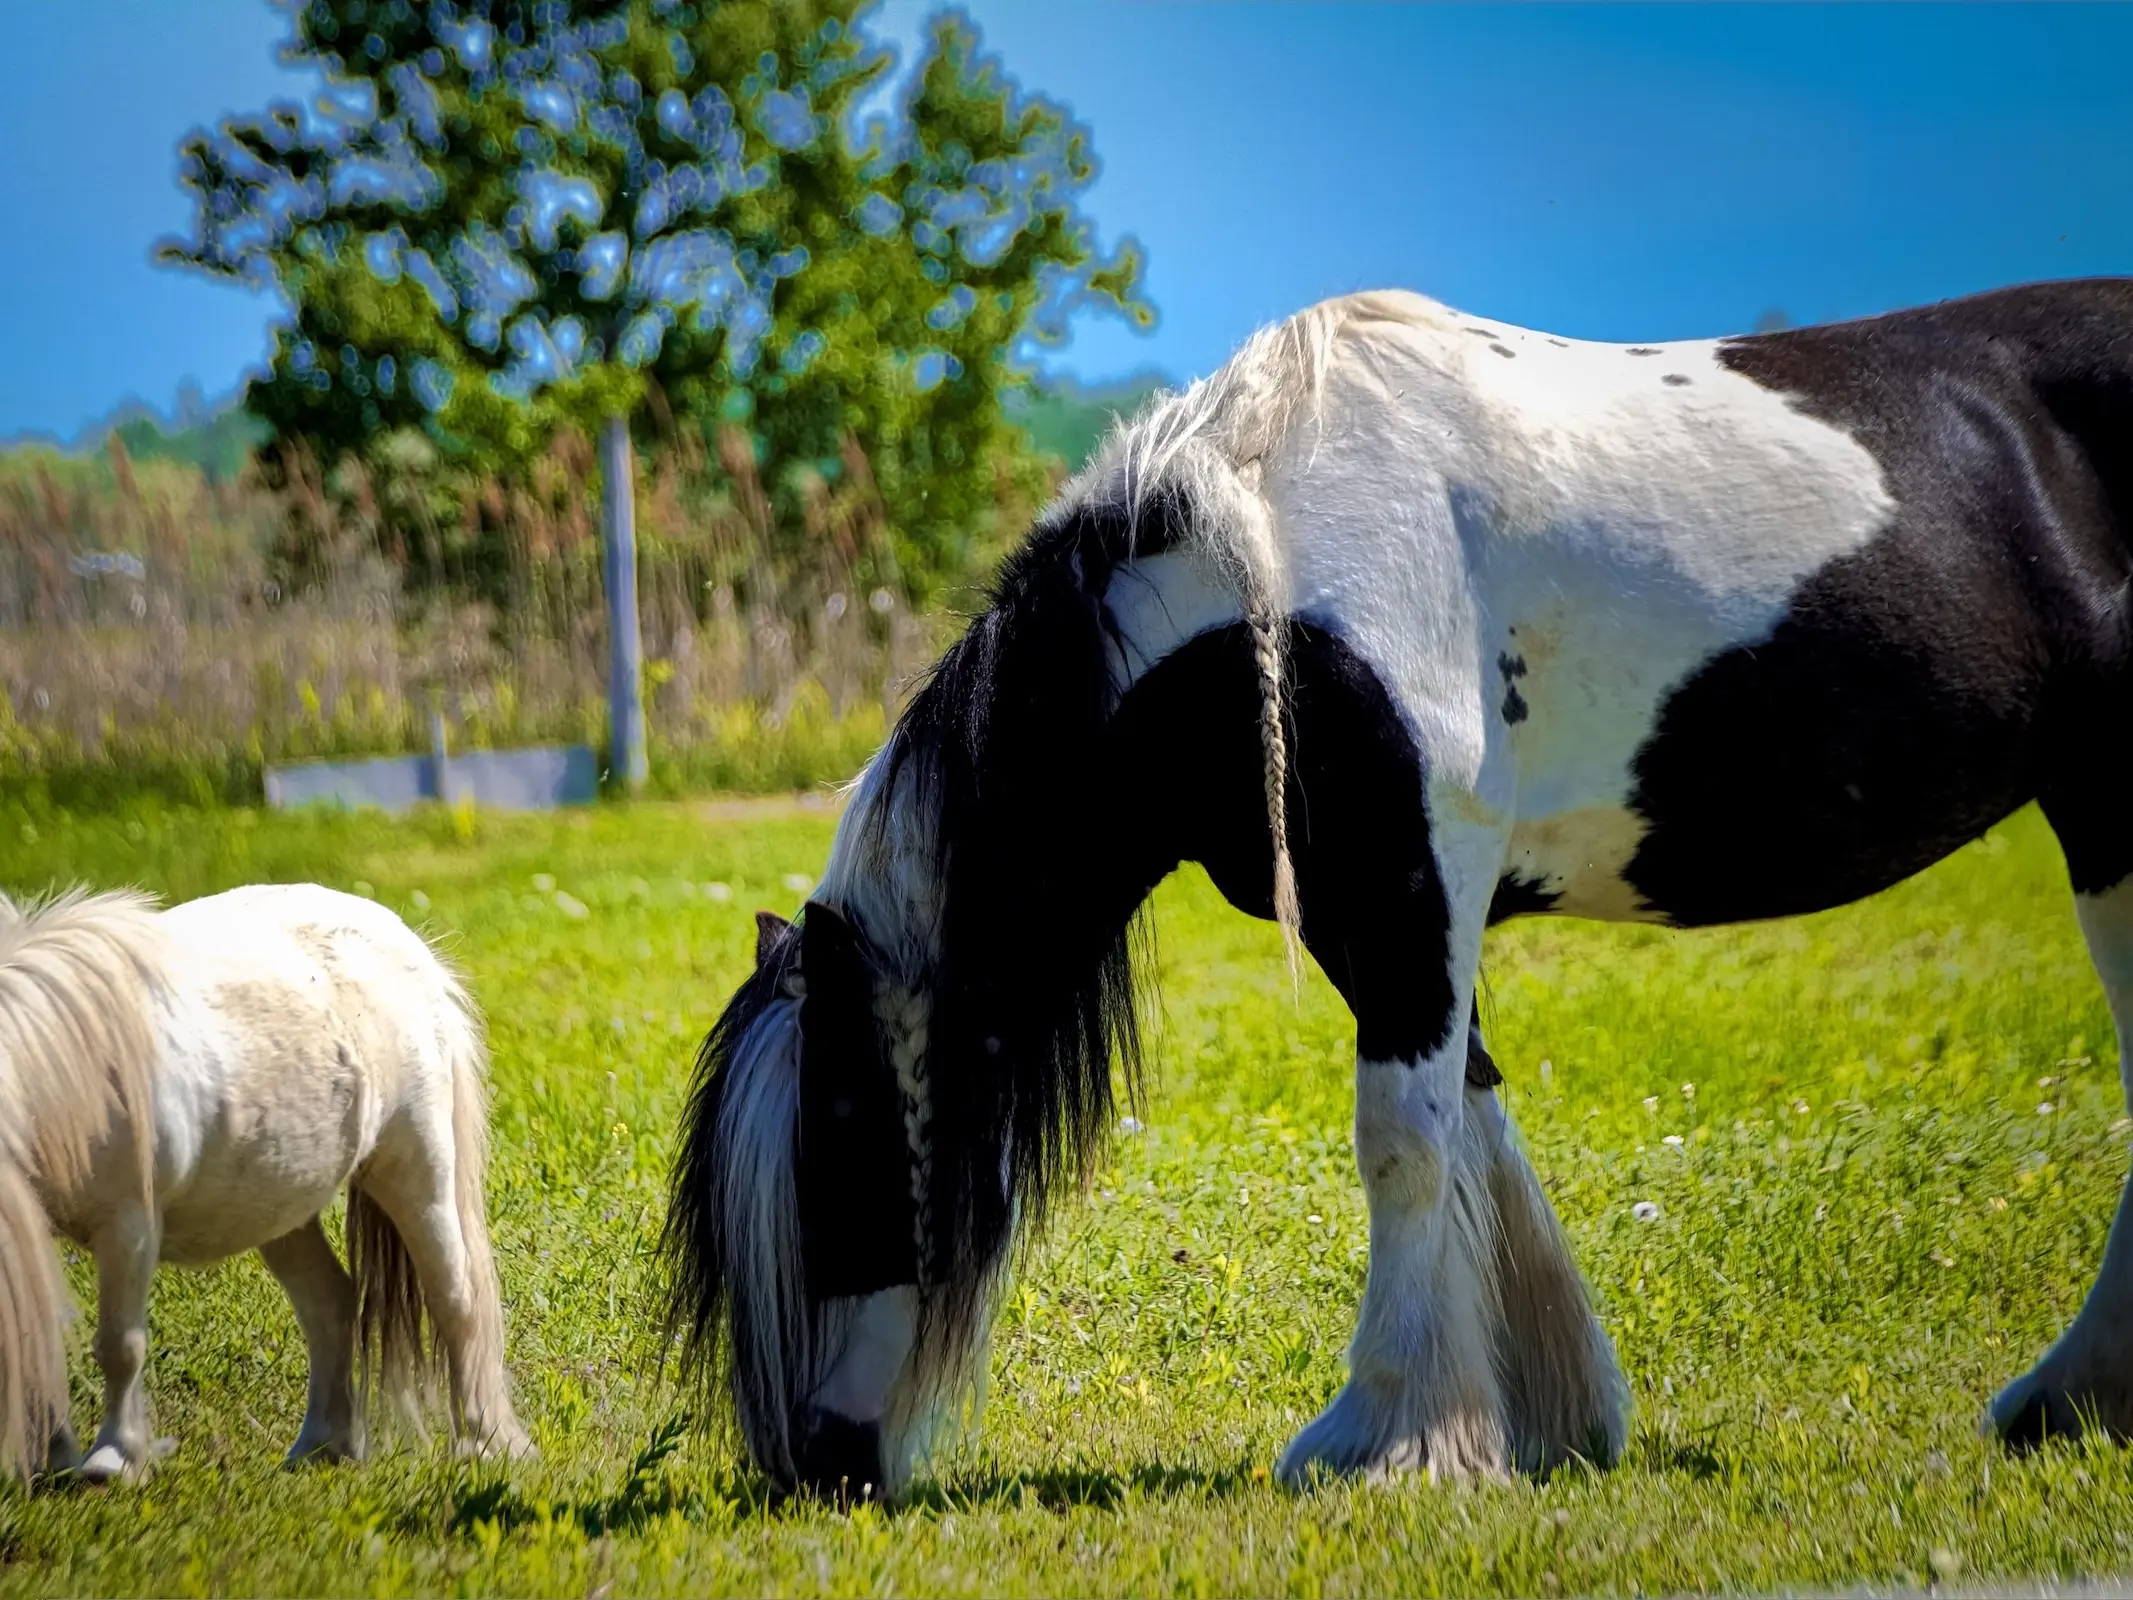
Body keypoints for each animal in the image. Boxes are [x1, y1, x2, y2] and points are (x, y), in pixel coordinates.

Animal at [0, 883, 531, 1484]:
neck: (66, 1067)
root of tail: (409, 946)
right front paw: (55, 1461)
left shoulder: (129, 1224)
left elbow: (120, 1345)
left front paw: (113, 1459)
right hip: (280, 1207)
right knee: (329, 1303)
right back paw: (323, 1444)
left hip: (416, 1169)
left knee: (456, 1298)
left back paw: (481, 1441)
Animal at [665, 285, 2133, 1501]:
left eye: (835, 1160)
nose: (811, 1469)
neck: (1265, 570)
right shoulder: (1377, 919)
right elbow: (1475, 1125)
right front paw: (1545, 1418)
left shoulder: (1414, 885)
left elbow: (1404, 1144)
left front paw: (1387, 1438)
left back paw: (2068, 1399)